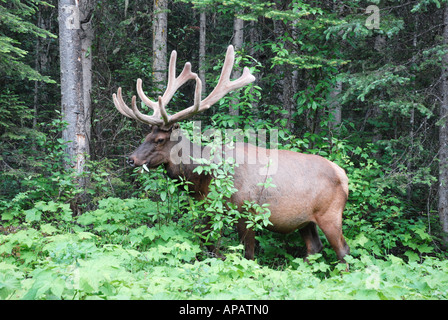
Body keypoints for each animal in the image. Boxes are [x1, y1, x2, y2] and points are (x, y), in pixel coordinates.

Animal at [113, 45, 350, 262]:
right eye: (146, 135)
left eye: (160, 140)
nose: (131, 159)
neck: (204, 178)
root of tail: (343, 176)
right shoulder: (209, 209)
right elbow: (209, 247)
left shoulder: (247, 212)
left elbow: (247, 255)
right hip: (305, 221)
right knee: (314, 248)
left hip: (330, 214)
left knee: (343, 251)